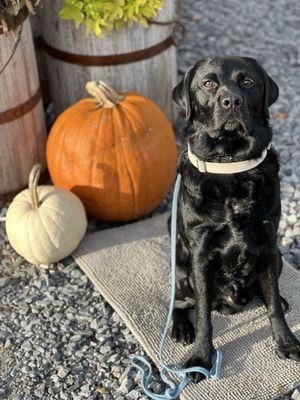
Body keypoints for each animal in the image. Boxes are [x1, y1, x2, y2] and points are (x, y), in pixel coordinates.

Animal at [171, 56, 300, 382]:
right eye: (208, 83)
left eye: (248, 82)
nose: (231, 101)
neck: (231, 164)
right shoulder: (200, 254)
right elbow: (203, 315)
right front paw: (201, 358)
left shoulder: (268, 244)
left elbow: (273, 306)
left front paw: (286, 342)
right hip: (181, 265)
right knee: (180, 301)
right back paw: (180, 327)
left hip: (278, 256)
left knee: (267, 291)